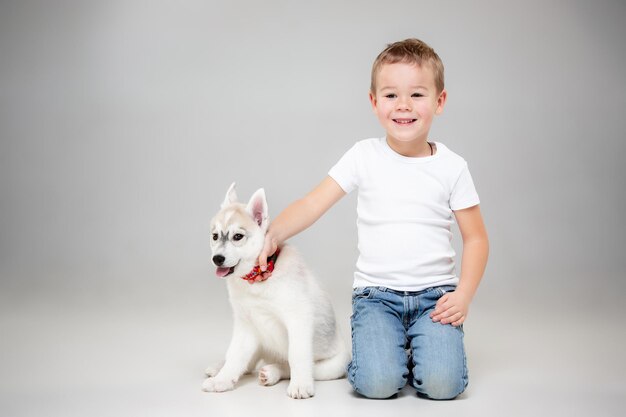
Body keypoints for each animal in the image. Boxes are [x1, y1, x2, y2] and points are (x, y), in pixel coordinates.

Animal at [202, 184, 348, 398]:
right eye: (214, 237)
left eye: (237, 237)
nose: (217, 259)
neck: (257, 280)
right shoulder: (246, 325)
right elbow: (236, 356)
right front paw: (223, 379)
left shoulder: (298, 319)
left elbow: (296, 356)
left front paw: (301, 385)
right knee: (246, 362)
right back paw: (219, 368)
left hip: (333, 366)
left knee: (291, 365)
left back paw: (272, 372)